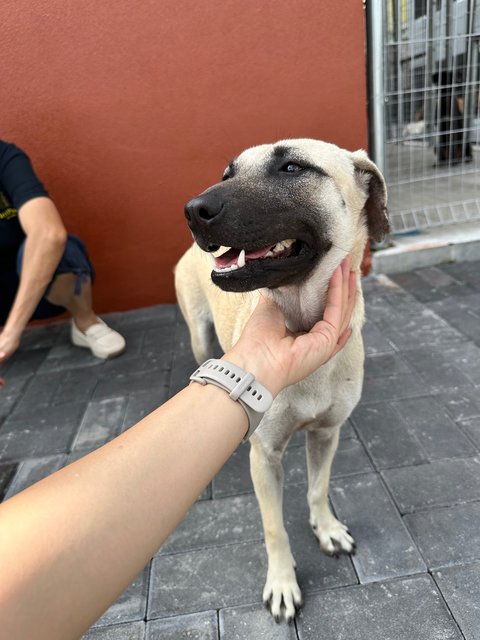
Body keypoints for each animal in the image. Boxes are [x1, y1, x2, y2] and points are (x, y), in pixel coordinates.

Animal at [174, 139, 388, 620]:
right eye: (228, 173)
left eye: (292, 167)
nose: (193, 210)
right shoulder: (266, 455)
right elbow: (274, 528)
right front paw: (282, 583)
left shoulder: (327, 433)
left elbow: (318, 489)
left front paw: (326, 529)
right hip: (198, 335)